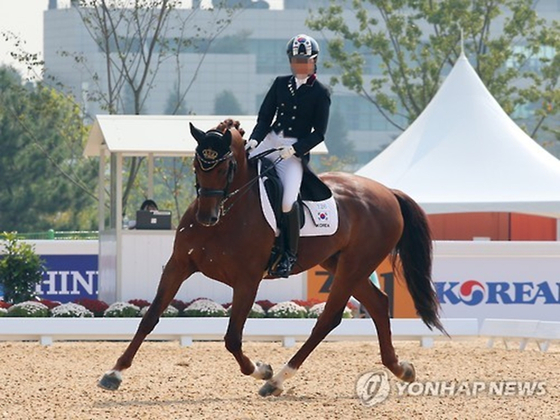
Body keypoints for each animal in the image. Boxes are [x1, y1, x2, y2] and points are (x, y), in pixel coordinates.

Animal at [98, 119, 444, 398]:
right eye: (196, 166)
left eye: (225, 169)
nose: (207, 217)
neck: (229, 212)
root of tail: (388, 193)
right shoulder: (179, 265)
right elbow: (150, 317)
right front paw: (114, 373)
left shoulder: (247, 280)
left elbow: (232, 338)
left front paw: (260, 369)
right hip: (342, 264)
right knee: (377, 304)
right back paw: (400, 368)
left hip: (355, 265)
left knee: (328, 319)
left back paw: (276, 380)